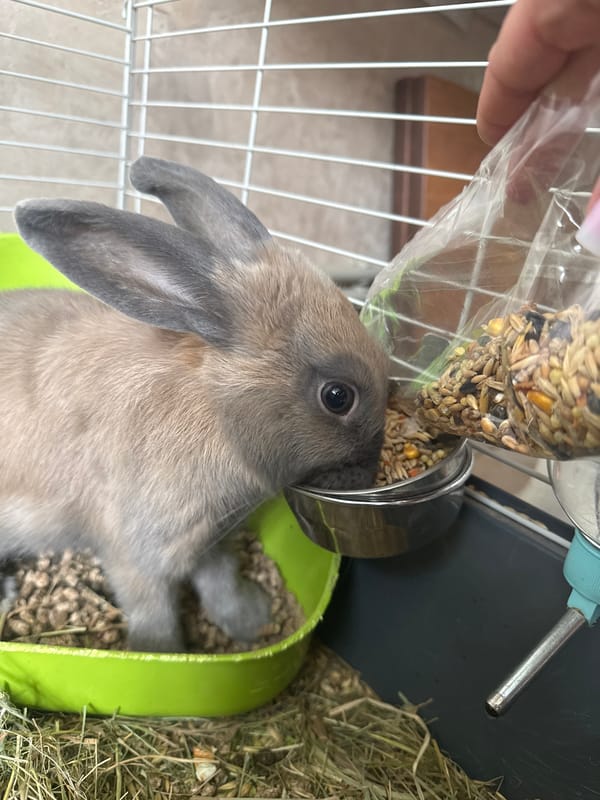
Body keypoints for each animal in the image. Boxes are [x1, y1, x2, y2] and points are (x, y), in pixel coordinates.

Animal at [0, 156, 389, 653]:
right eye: (338, 397)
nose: (369, 471)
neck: (216, 412)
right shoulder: (138, 555)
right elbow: (156, 615)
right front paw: (162, 655)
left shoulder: (210, 541)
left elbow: (220, 580)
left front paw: (252, 620)